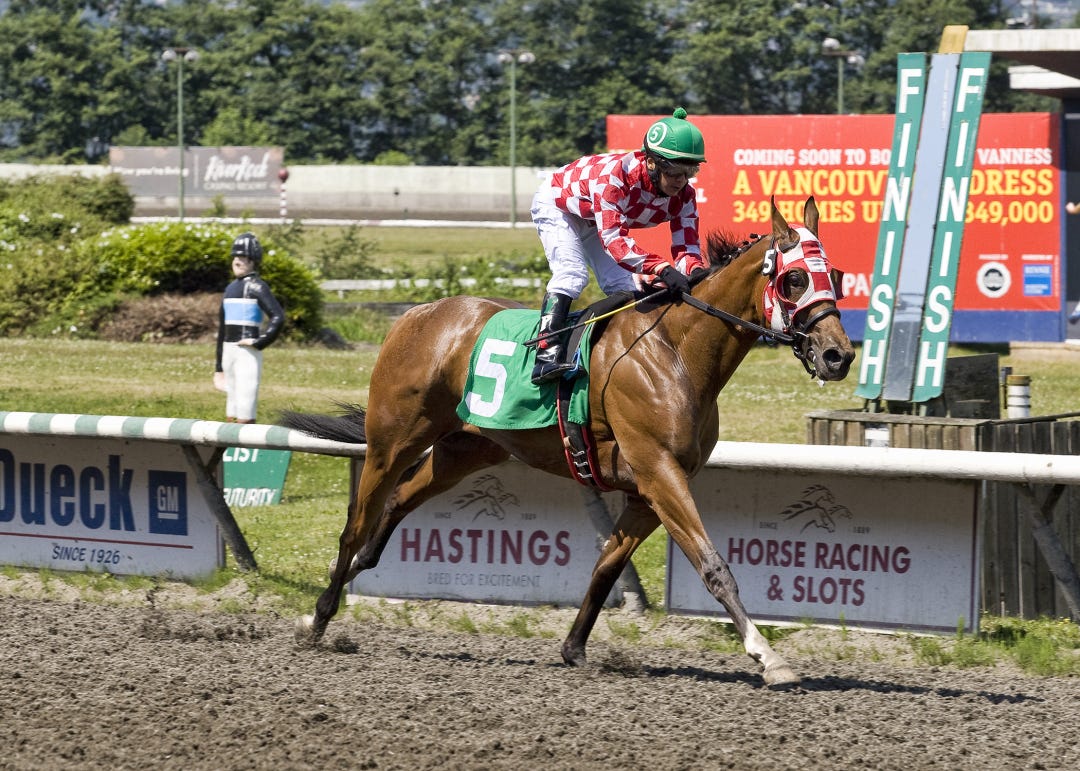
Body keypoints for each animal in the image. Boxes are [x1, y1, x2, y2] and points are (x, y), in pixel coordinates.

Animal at [282, 196, 854, 687]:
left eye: (836, 277)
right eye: (794, 278)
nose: (838, 356)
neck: (674, 352)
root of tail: (414, 315)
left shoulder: (645, 490)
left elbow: (607, 566)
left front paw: (574, 648)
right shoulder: (659, 472)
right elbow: (713, 566)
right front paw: (769, 657)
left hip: (463, 451)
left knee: (397, 502)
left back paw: (352, 574)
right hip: (392, 442)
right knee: (355, 524)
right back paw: (319, 617)